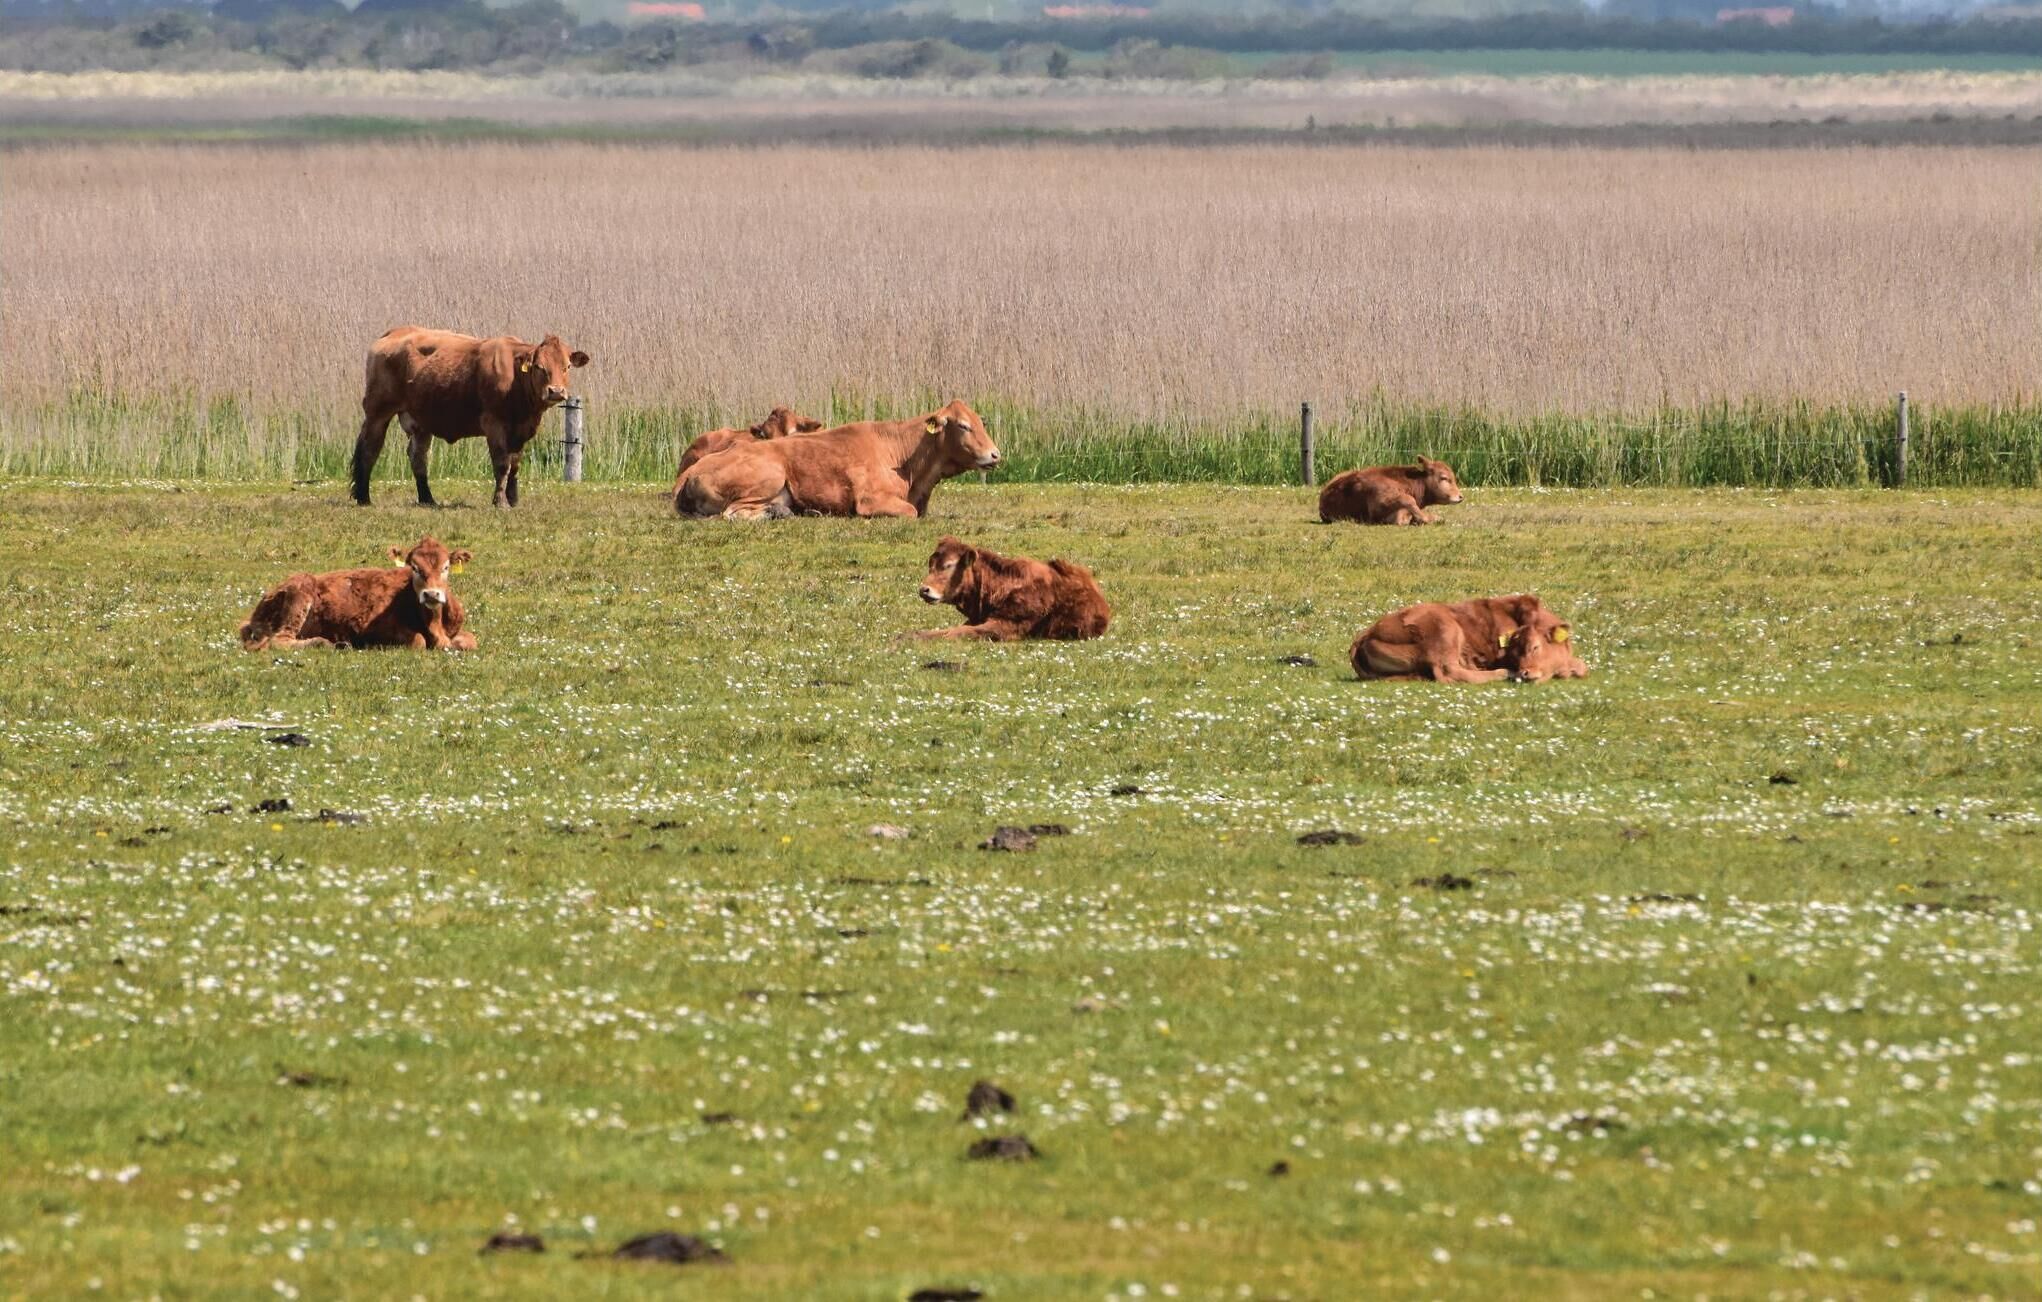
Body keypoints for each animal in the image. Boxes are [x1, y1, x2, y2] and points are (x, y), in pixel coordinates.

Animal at [239, 536, 476, 652]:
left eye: (446, 567)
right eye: (414, 568)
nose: (432, 595)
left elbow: (471, 640)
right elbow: (418, 641)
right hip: (300, 594)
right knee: (279, 640)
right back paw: (325, 643)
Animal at [352, 326, 590, 509]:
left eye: (567, 366)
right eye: (540, 367)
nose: (556, 391)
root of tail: (395, 331)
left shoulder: (522, 430)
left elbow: (514, 465)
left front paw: (513, 500)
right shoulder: (494, 424)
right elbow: (502, 464)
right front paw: (500, 502)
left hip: (420, 421)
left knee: (418, 457)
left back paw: (427, 499)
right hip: (378, 412)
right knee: (369, 449)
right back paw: (364, 498)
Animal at [1349, 594, 1580, 684]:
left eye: (1535, 647)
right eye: (1516, 650)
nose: (1525, 672)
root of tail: (1366, 634)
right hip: (1446, 628)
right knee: (1450, 672)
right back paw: (1503, 673)